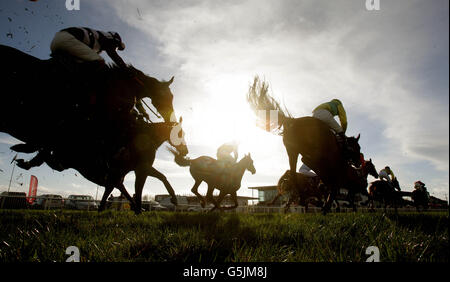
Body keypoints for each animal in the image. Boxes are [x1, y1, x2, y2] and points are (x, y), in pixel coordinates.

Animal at [248, 77, 364, 214]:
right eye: (358, 148)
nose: (358, 163)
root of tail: (292, 120)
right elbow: (332, 187)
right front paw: (325, 203)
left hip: (292, 150)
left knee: (294, 172)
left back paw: (304, 197)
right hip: (311, 151)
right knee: (307, 165)